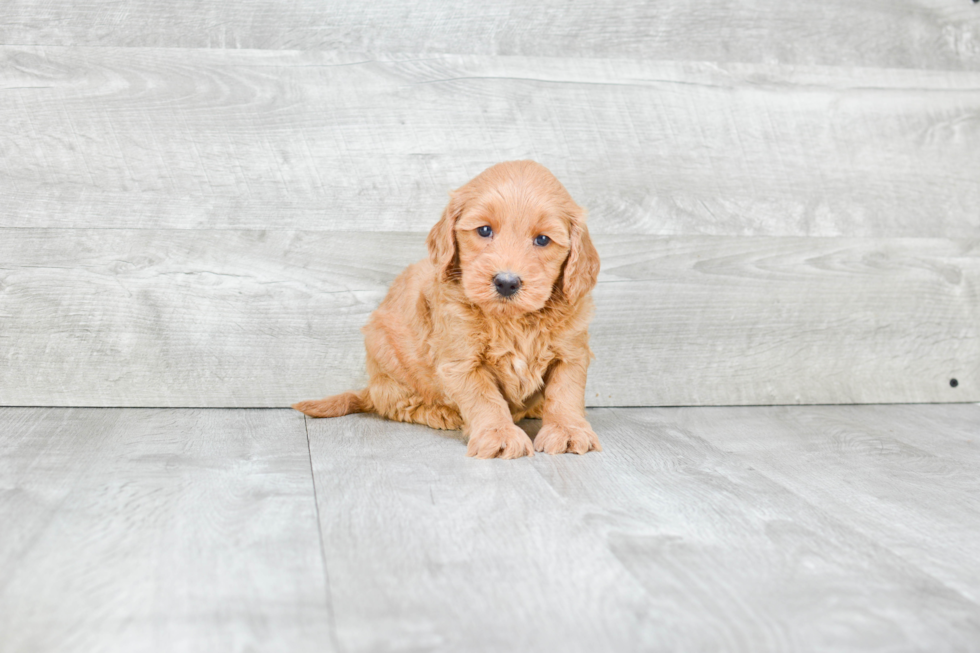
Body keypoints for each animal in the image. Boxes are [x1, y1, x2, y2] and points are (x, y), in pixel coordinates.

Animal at [290, 159, 600, 458]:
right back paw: (440, 413)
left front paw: (567, 430)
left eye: (543, 239)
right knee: (396, 404)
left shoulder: (571, 352)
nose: (506, 282)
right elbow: (485, 398)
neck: (511, 320)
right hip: (386, 353)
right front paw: (500, 434)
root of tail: (371, 386)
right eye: (484, 230)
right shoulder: (461, 360)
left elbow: (565, 393)